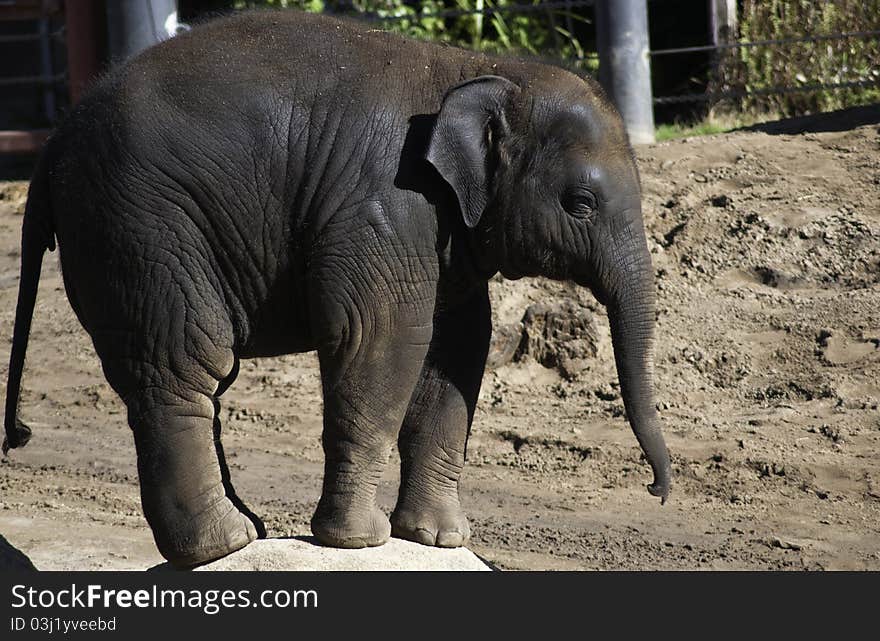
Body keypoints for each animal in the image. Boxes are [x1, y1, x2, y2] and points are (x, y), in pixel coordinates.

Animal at [3, 7, 672, 564]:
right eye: (580, 203)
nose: (656, 490)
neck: (474, 69)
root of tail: (54, 143)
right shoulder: (385, 205)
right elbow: (382, 337)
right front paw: (359, 541)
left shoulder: (445, 233)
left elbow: (457, 350)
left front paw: (436, 539)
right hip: (142, 228)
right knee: (185, 366)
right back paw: (225, 545)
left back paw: (248, 531)